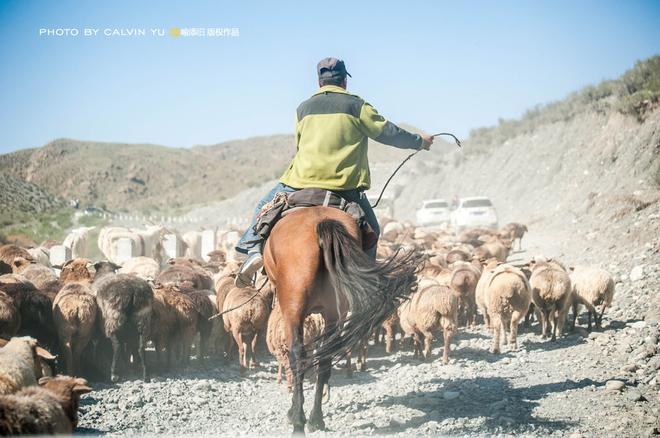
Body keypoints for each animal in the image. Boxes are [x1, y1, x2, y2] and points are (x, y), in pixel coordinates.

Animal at [262, 206, 420, 434]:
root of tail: (321, 223)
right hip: (335, 312)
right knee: (325, 355)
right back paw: (316, 419)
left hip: (293, 309)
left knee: (298, 355)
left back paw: (298, 420)